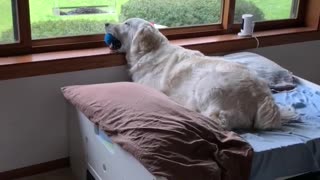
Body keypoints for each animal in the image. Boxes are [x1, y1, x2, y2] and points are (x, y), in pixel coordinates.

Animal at [105, 18, 282, 130]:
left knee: (217, 120)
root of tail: (262, 95)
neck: (149, 51)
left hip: (209, 85)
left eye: (127, 23)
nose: (106, 23)